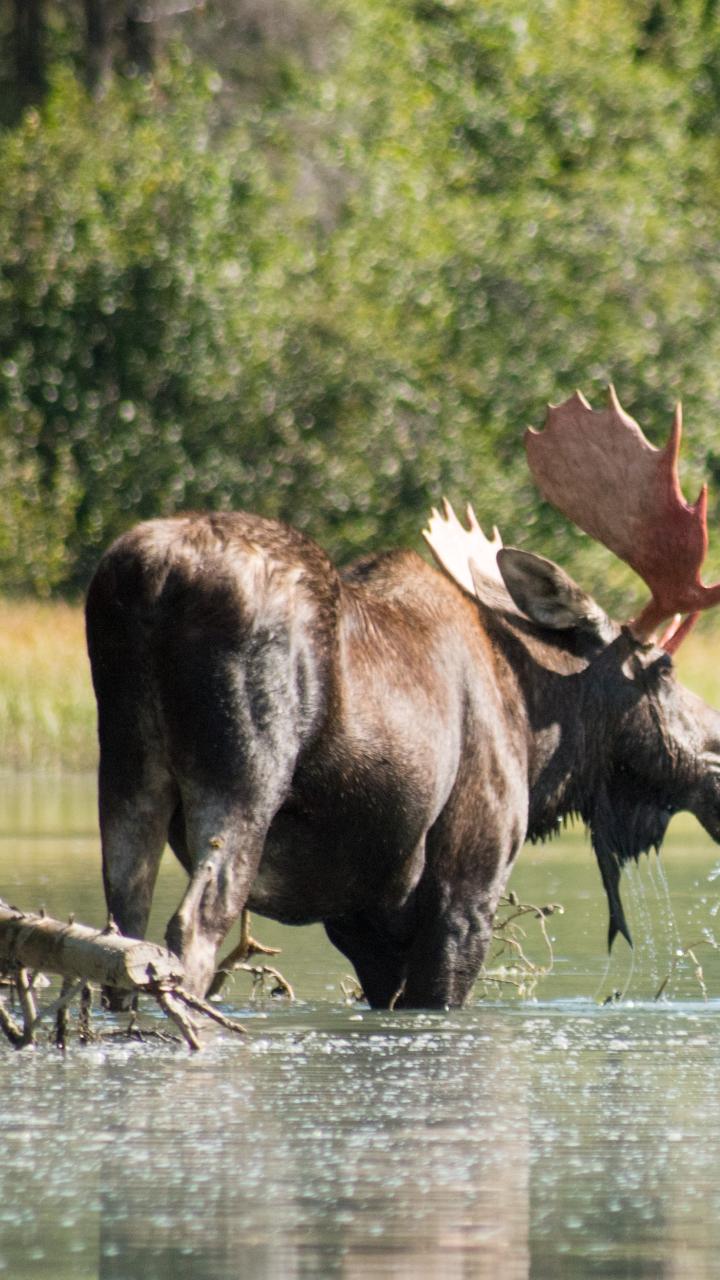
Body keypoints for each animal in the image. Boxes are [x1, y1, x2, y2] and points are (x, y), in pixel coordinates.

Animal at [85, 388, 720, 1007]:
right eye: (663, 667)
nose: (715, 754)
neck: (541, 742)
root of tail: (152, 579)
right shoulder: (468, 885)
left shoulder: (361, 920)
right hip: (243, 774)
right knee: (193, 927)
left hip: (125, 765)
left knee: (121, 935)